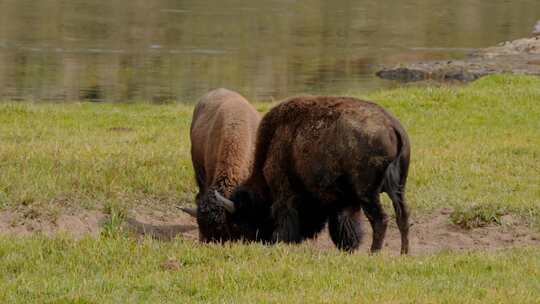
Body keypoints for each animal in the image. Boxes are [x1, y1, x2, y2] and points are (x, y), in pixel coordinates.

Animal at [213, 96, 412, 253]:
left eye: (240, 220)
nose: (252, 241)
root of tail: (392, 125)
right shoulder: (343, 201)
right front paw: (348, 246)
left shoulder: (284, 194)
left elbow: (286, 216)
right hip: (398, 189)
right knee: (402, 217)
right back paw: (403, 253)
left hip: (368, 194)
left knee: (380, 220)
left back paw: (373, 253)